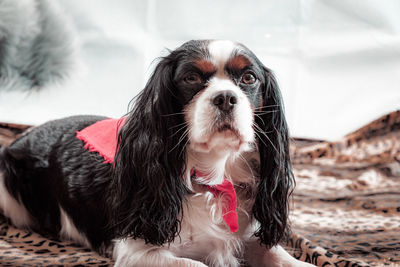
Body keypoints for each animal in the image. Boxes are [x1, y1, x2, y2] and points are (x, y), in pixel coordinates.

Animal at [0, 40, 312, 267]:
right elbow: (196, 264)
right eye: (191, 77)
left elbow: (282, 256)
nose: (225, 97)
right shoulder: (137, 252)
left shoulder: (248, 237)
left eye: (248, 78)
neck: (214, 178)